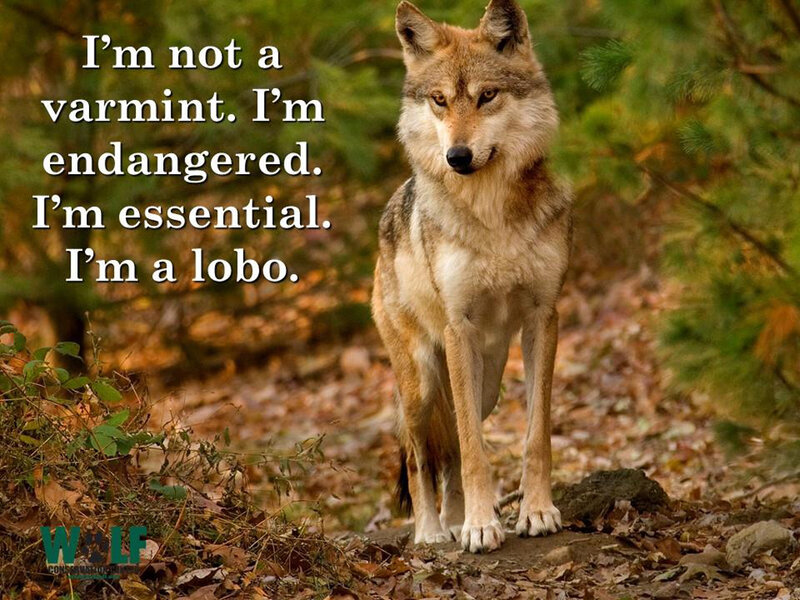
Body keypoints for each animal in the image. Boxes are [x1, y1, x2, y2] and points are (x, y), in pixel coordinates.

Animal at [371, 0, 572, 553]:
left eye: (487, 96)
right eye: (440, 101)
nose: (457, 157)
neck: (491, 214)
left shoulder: (544, 318)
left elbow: (534, 436)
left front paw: (535, 512)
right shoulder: (458, 328)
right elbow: (470, 450)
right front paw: (483, 526)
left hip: (487, 385)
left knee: (455, 453)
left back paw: (460, 520)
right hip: (421, 384)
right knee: (422, 455)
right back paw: (432, 532)